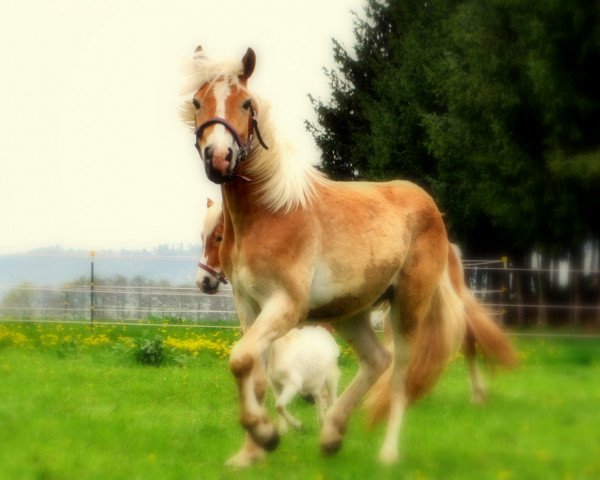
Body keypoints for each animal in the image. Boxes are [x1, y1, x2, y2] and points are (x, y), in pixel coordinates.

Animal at [179, 45, 516, 464]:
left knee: (400, 374)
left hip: (408, 307)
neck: (270, 212)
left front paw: (266, 436)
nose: (219, 158)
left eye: (245, 103)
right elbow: (253, 375)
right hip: (352, 313)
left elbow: (240, 360)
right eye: (197, 101)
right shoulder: (249, 307)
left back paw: (387, 453)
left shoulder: (286, 306)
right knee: (376, 361)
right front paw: (252, 453)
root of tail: (431, 209)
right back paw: (332, 435)